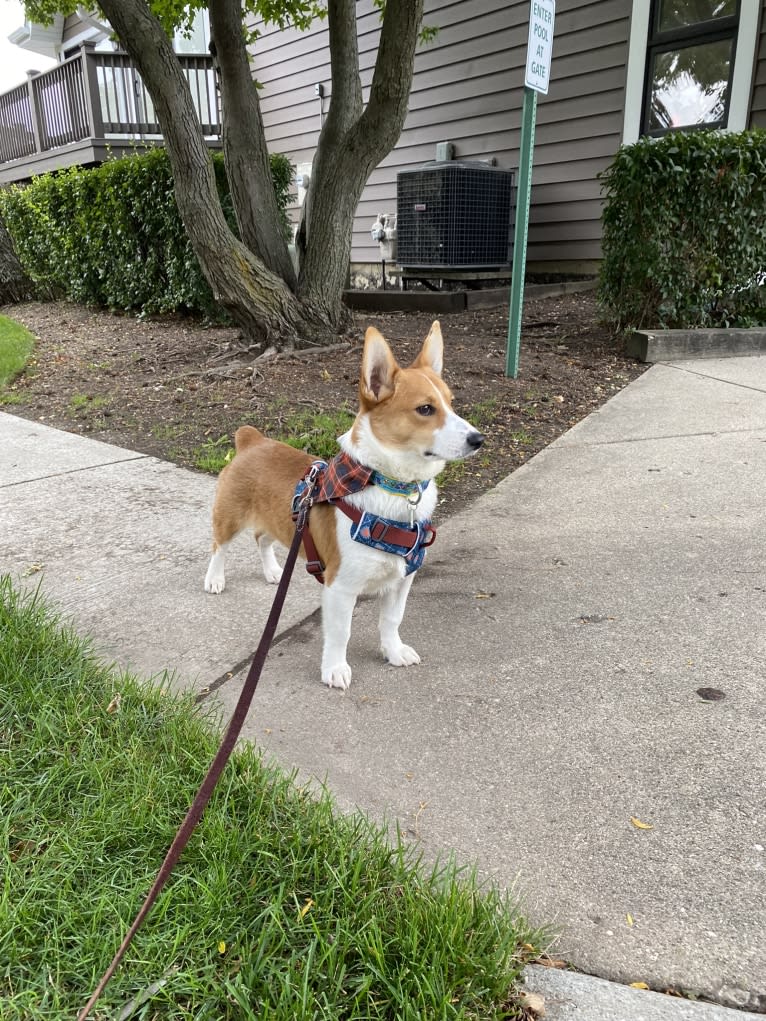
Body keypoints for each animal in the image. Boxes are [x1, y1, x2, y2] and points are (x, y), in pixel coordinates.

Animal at [204, 322, 486, 690]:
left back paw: (273, 571)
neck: (388, 485)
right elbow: (341, 633)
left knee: (262, 539)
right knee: (219, 546)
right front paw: (335, 669)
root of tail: (252, 440)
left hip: (280, 522)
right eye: (425, 409)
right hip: (230, 517)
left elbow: (392, 620)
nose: (478, 439)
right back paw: (215, 579)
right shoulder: (340, 587)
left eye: (451, 403)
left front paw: (393, 651)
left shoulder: (402, 579)